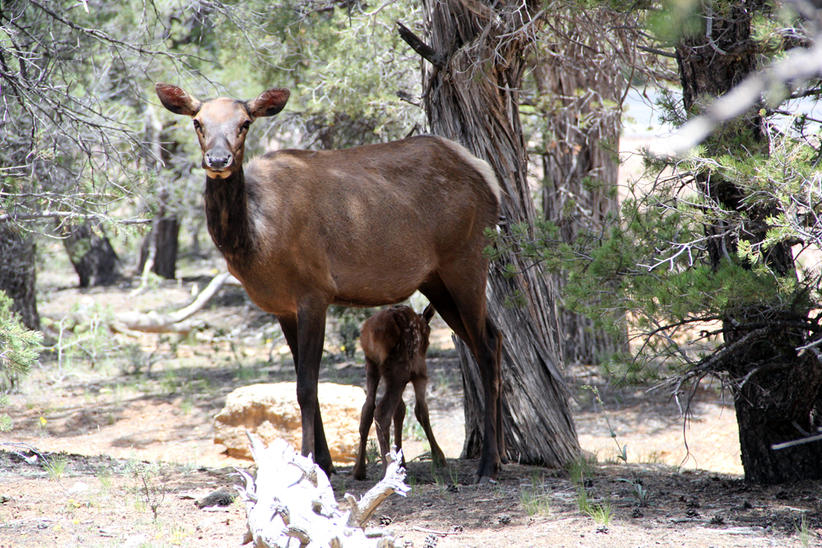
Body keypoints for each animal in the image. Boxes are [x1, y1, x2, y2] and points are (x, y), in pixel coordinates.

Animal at [352, 304, 448, 480]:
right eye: (429, 332)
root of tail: (370, 334)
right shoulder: (420, 372)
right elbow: (421, 411)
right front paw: (439, 457)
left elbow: (400, 411)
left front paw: (402, 461)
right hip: (398, 369)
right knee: (382, 412)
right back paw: (386, 470)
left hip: (372, 366)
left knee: (368, 408)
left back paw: (359, 470)